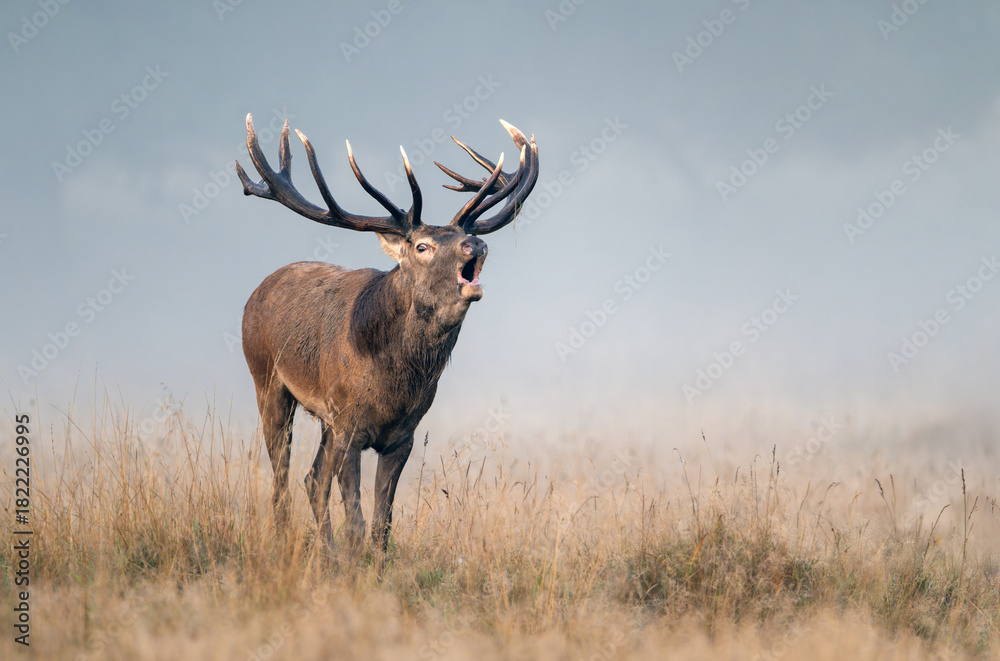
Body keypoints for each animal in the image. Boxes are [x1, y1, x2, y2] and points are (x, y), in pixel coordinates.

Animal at [235, 114, 538, 555]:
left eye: (464, 239)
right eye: (423, 246)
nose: (475, 244)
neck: (393, 382)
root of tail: (257, 292)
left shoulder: (401, 435)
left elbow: (382, 525)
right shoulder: (349, 426)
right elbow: (357, 522)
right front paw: (352, 563)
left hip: (325, 419)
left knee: (312, 480)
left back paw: (326, 553)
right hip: (268, 379)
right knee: (281, 477)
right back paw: (286, 545)